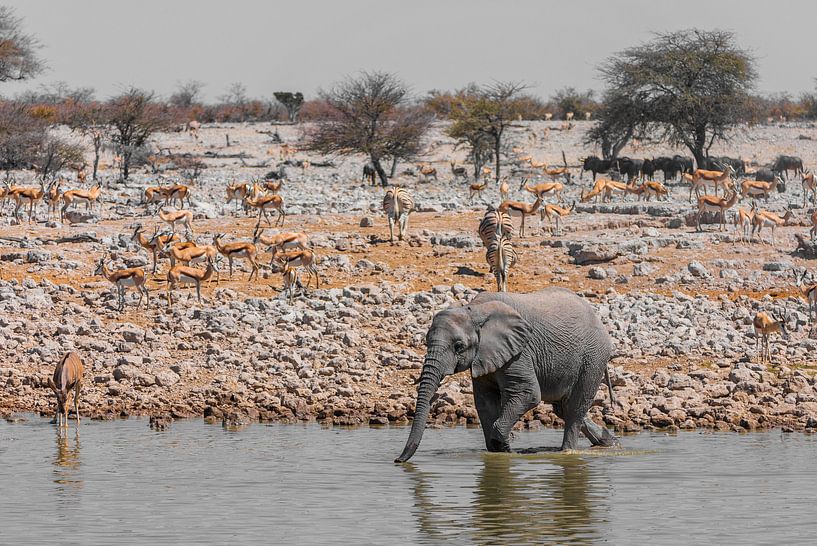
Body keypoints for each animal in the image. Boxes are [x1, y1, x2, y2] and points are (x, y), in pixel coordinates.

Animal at [396, 284, 620, 460]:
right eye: (426, 341)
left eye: (459, 346)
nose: (398, 460)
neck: (474, 311)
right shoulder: (485, 357)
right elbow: (485, 402)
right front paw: (499, 451)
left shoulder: (520, 352)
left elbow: (528, 394)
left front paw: (505, 449)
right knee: (563, 408)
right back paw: (610, 442)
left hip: (593, 358)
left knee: (574, 408)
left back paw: (567, 452)